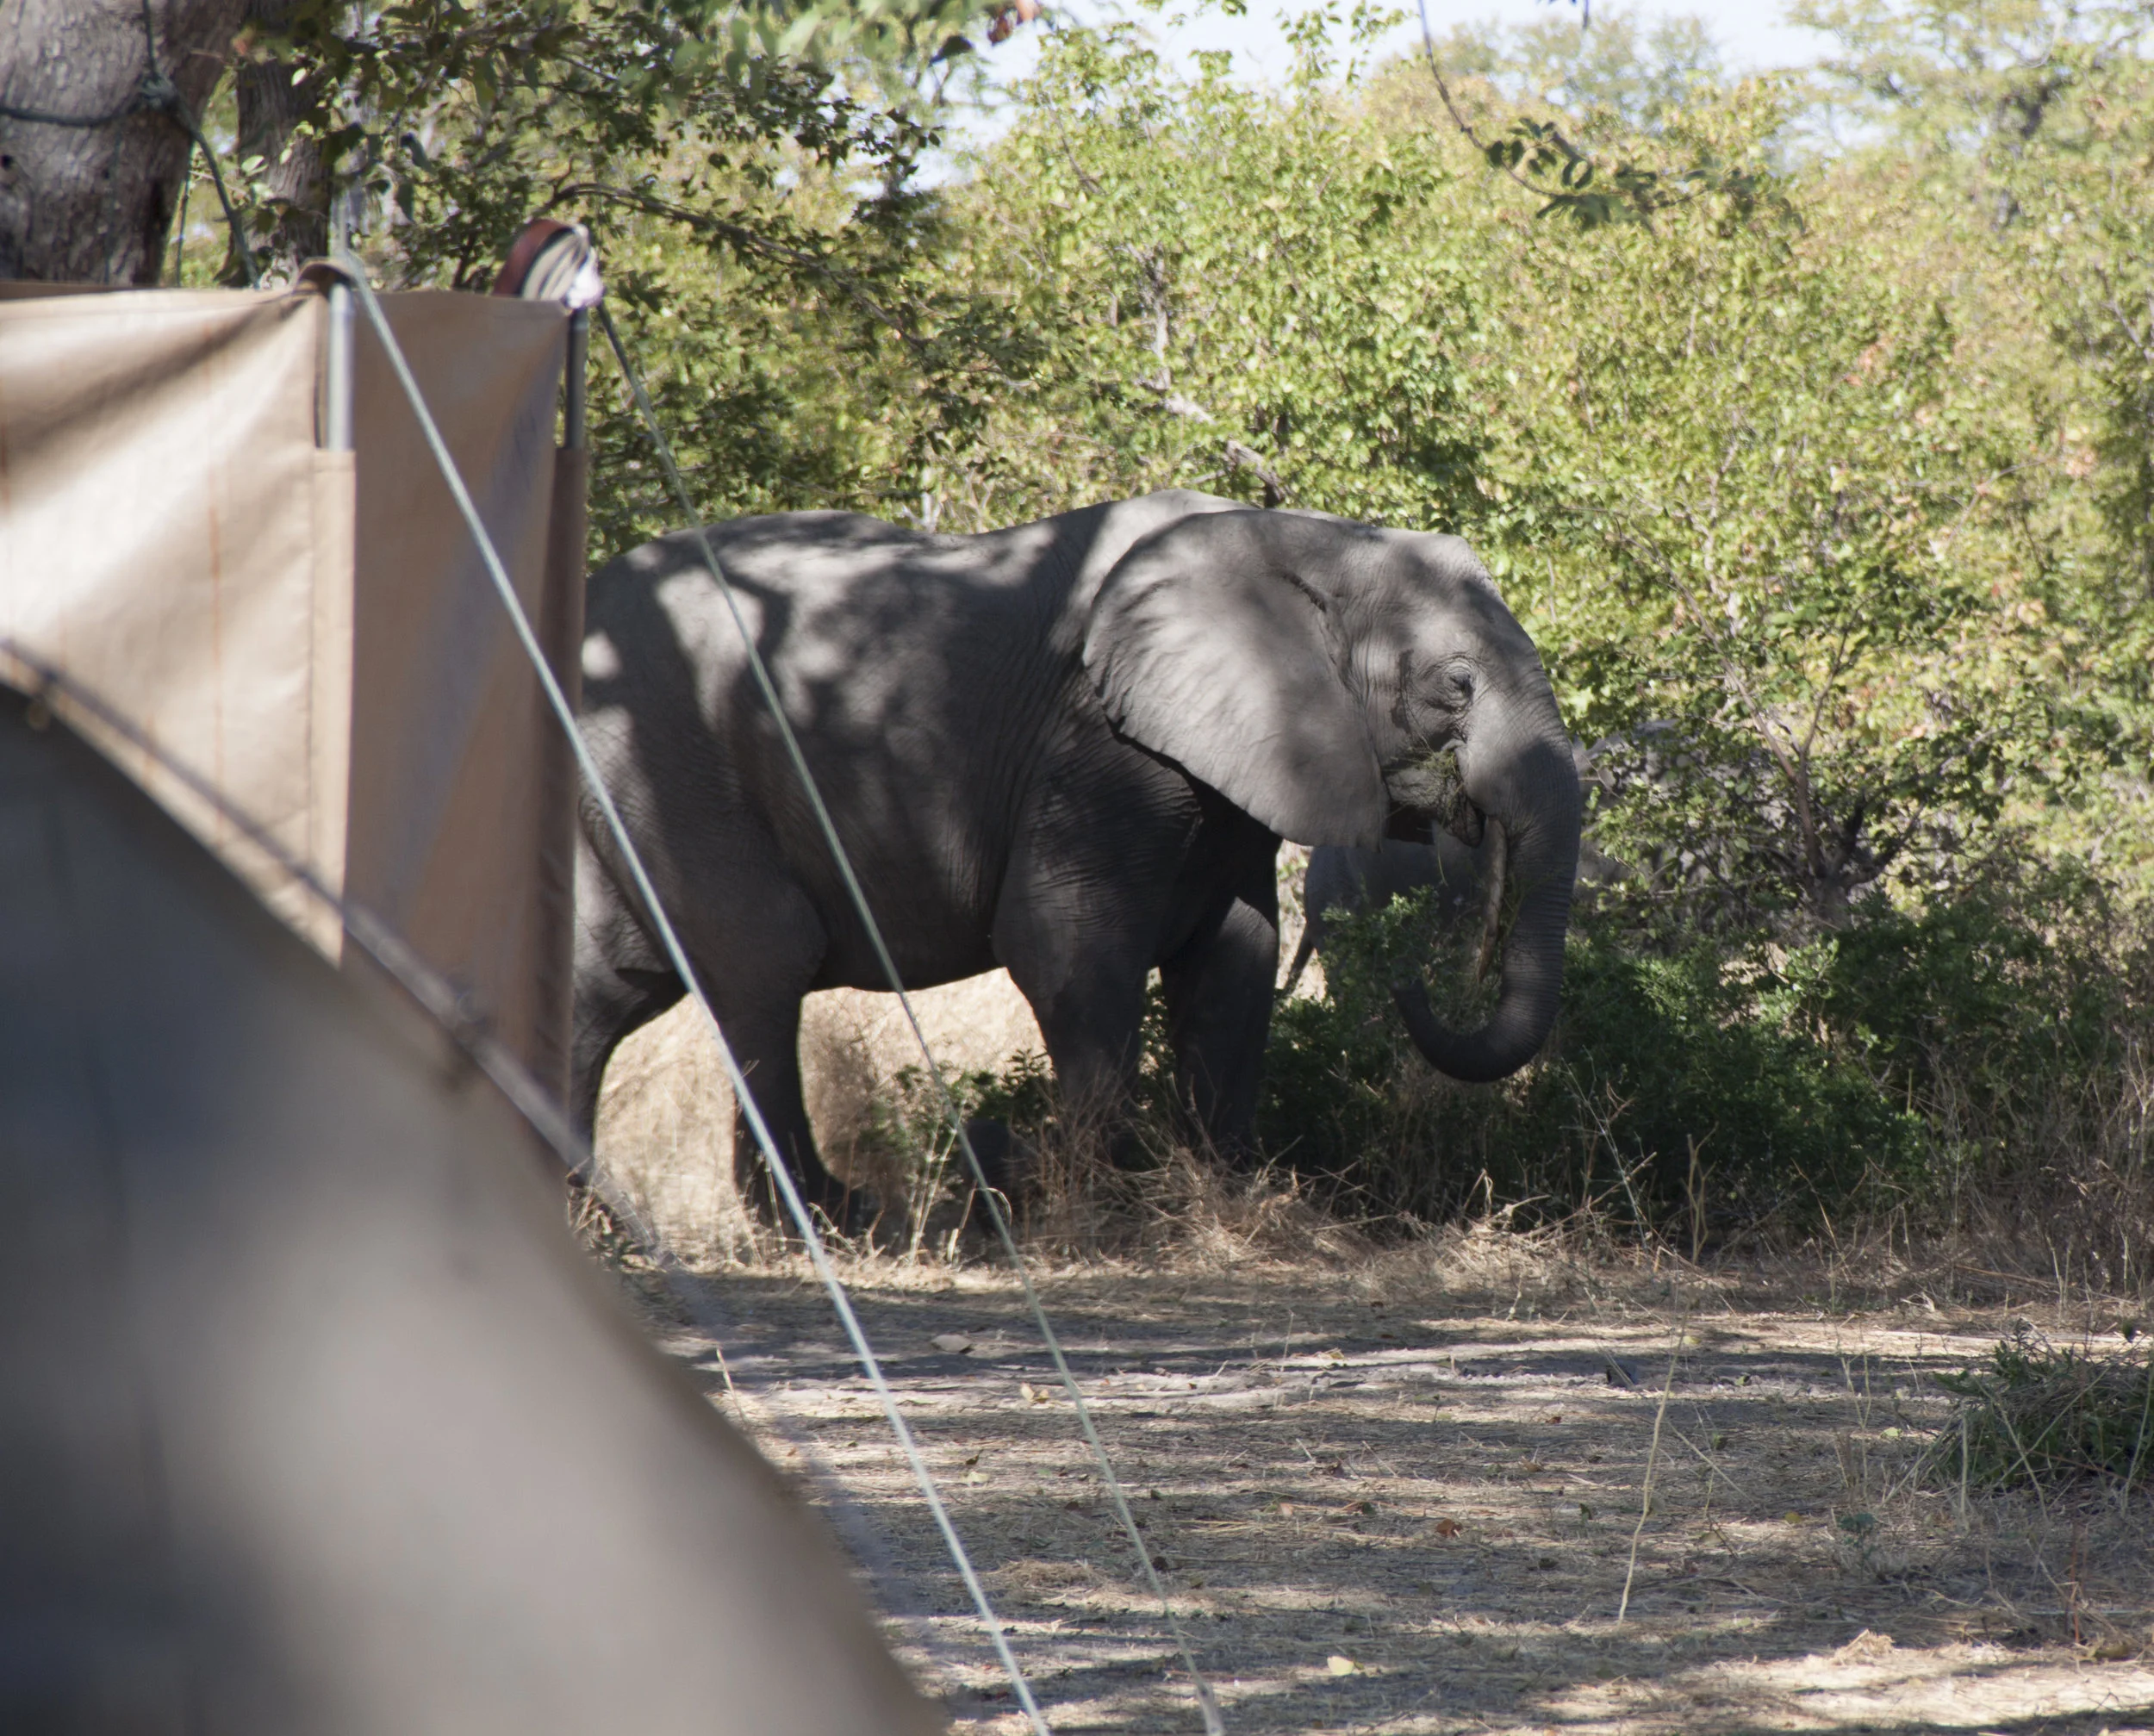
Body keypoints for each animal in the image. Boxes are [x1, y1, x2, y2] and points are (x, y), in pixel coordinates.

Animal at [570, 490, 1583, 1226]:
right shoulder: (1101, 742)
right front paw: (1109, 1209)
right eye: (1456, 687)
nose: (1416, 985)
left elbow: (1235, 956)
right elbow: (1067, 946)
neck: (1299, 537)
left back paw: (599, 1212)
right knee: (763, 966)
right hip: (675, 764)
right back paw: (835, 1219)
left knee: (607, 984)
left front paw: (1223, 1193)